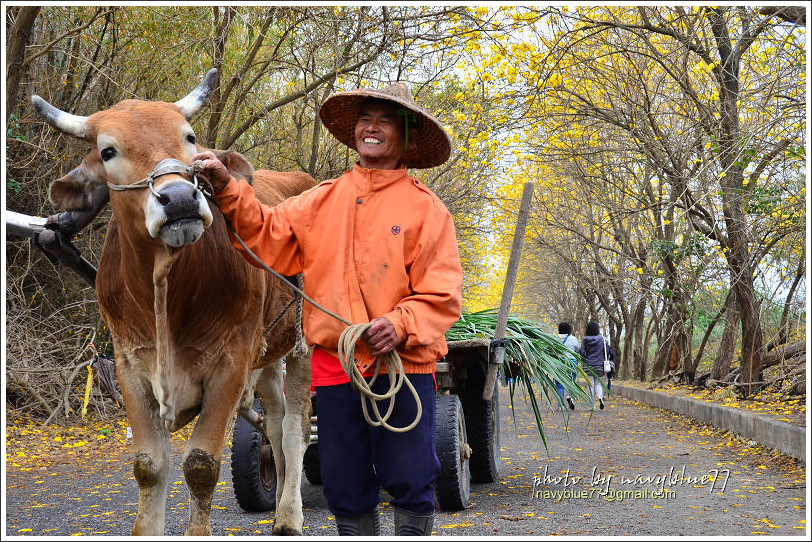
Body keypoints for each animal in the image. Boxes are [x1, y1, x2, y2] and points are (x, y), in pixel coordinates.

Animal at [31, 70, 318, 536]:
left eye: (189, 137)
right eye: (107, 151)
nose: (181, 199)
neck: (165, 289)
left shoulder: (229, 366)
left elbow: (201, 464)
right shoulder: (130, 366)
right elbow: (149, 466)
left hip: (302, 343)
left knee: (296, 429)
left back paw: (289, 516)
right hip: (268, 356)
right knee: (274, 425)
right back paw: (275, 500)